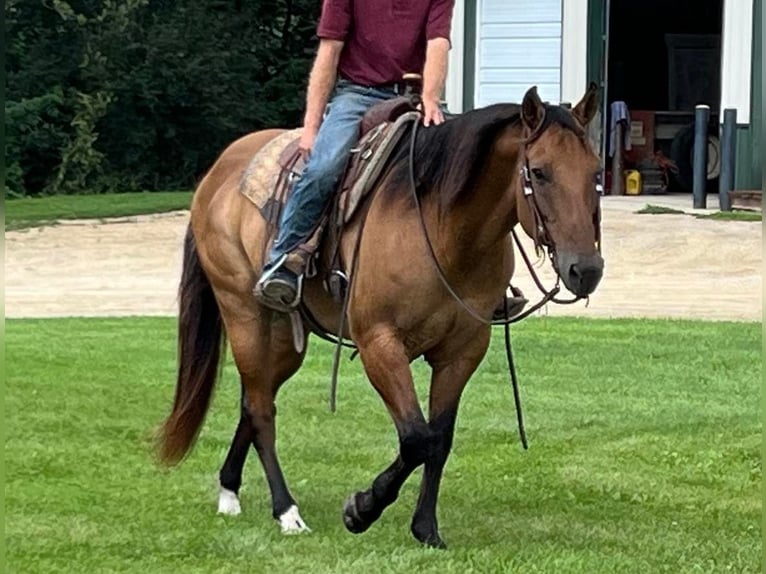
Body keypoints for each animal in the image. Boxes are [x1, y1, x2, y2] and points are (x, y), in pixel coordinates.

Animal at [159, 84, 608, 548]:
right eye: (538, 172)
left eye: (595, 172)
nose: (586, 269)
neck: (442, 227)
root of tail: (218, 172)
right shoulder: (380, 344)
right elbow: (416, 438)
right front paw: (362, 509)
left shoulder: (462, 351)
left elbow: (439, 439)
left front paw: (426, 529)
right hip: (243, 314)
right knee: (262, 410)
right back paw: (287, 511)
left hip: (284, 337)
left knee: (253, 400)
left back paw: (229, 490)